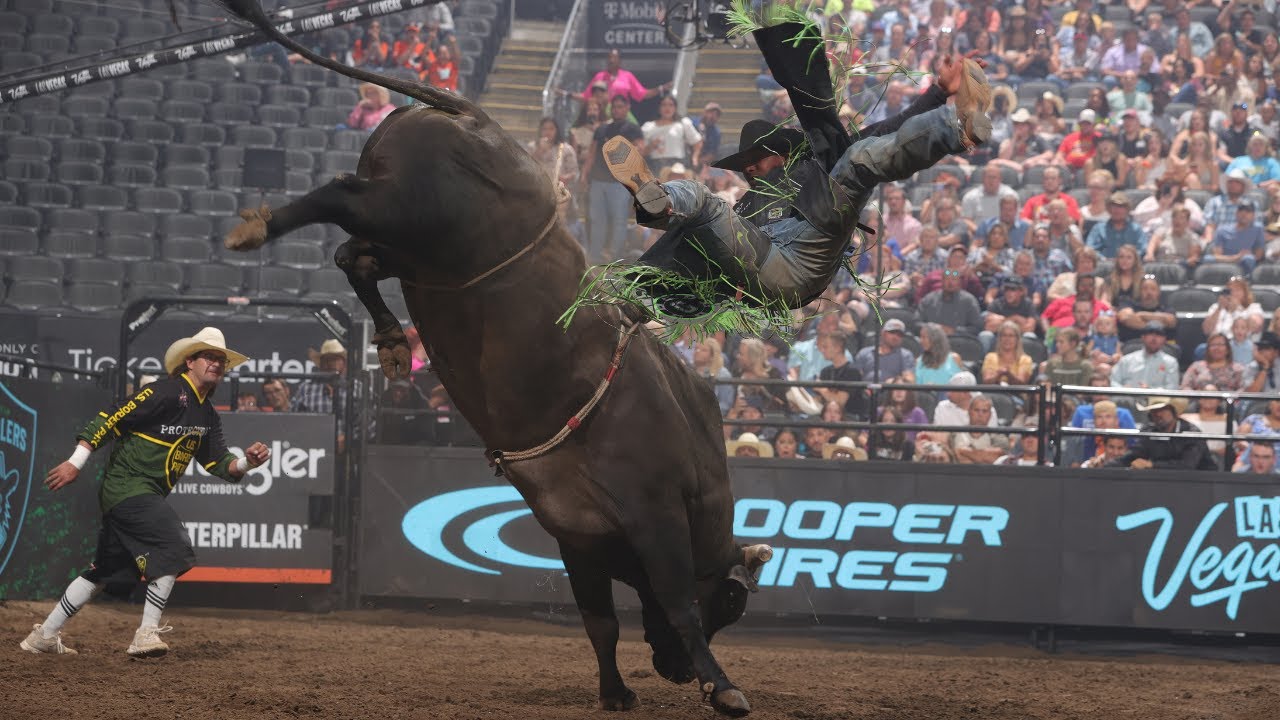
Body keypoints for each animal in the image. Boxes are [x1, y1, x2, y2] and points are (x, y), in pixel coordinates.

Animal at [213, 0, 768, 712]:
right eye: (731, 602)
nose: (672, 671)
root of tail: (472, 117)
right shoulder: (656, 516)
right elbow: (674, 605)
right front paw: (722, 687)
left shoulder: (577, 536)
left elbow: (601, 621)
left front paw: (616, 691)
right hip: (412, 212)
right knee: (339, 198)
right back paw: (261, 229)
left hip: (409, 243)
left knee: (353, 256)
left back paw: (391, 340)